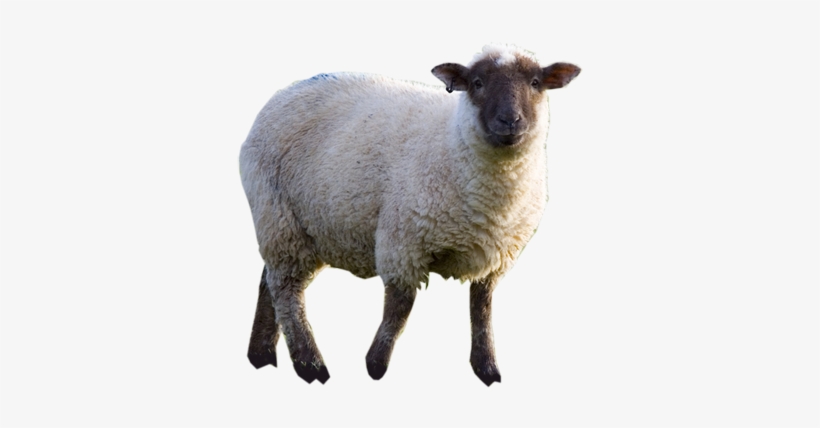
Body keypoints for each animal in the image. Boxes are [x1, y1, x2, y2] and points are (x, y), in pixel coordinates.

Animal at [240, 45, 580, 386]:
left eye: (535, 82)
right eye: (477, 82)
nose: (510, 120)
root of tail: (286, 92)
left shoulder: (494, 258)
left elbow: (482, 310)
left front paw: (487, 368)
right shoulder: (402, 242)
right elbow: (398, 310)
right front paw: (375, 365)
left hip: (307, 229)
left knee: (268, 282)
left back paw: (261, 355)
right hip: (278, 216)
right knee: (286, 290)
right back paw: (310, 365)